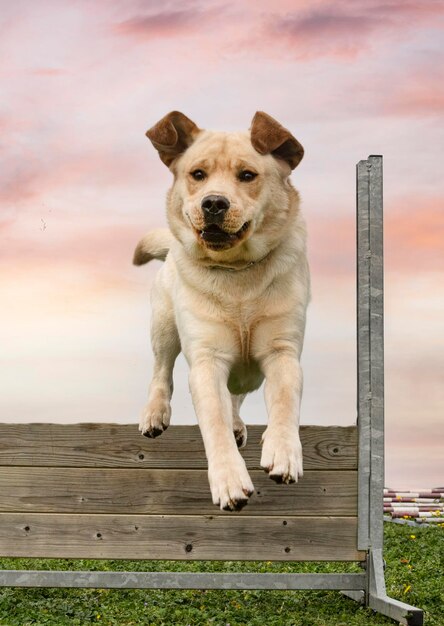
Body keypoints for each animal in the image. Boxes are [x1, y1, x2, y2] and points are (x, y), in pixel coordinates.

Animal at [134, 111, 310, 512]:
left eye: (247, 175)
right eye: (197, 174)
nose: (214, 203)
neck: (238, 273)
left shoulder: (281, 351)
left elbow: (285, 403)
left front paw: (283, 452)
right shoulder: (207, 358)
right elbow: (213, 422)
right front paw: (230, 481)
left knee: (236, 395)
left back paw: (239, 423)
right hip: (164, 325)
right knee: (161, 372)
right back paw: (155, 412)